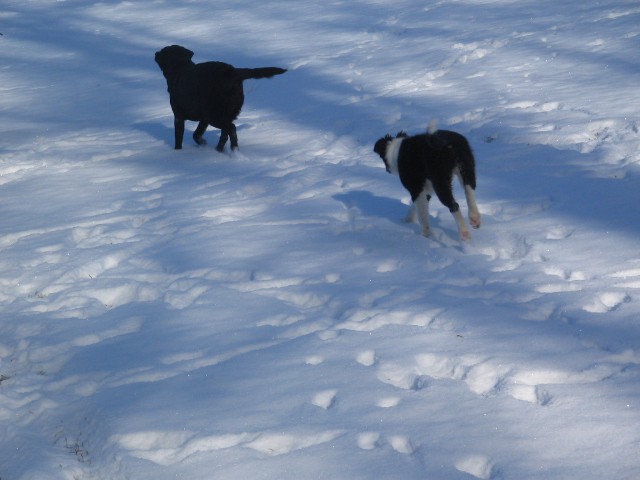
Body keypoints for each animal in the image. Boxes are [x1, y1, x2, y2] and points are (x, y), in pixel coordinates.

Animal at [154, 45, 286, 152]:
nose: (155, 54)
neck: (179, 69)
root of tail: (233, 72)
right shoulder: (204, 118)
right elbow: (196, 134)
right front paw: (203, 143)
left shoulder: (179, 116)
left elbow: (179, 138)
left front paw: (177, 152)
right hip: (225, 113)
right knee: (225, 133)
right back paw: (225, 150)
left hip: (215, 115)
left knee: (231, 129)